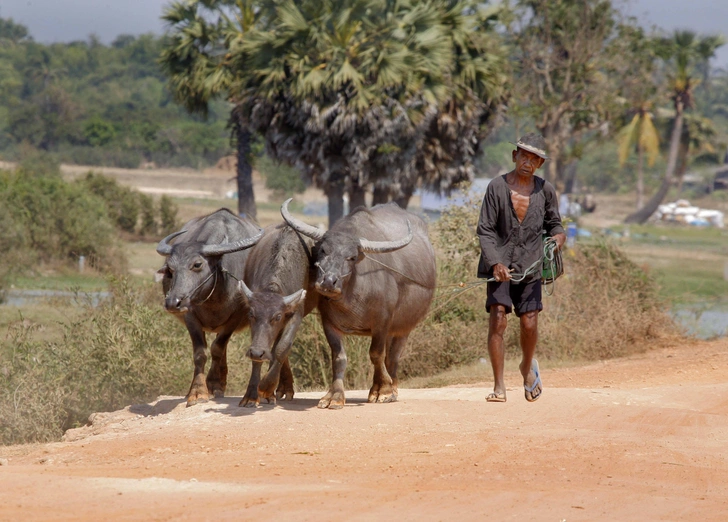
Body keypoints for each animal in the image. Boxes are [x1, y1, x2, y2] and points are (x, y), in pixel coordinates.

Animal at [155, 207, 264, 406]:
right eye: (171, 269)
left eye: (197, 264)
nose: (173, 302)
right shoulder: (190, 316)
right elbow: (200, 353)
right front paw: (197, 391)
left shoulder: (236, 316)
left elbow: (217, 348)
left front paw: (214, 384)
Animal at [239, 222, 318, 406]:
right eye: (251, 314)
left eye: (277, 317)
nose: (257, 352)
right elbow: (261, 356)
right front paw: (252, 394)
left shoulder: (295, 315)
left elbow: (282, 348)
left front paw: (267, 387)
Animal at [282, 198, 436, 406]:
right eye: (323, 250)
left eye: (352, 257)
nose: (329, 281)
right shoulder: (329, 323)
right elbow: (338, 358)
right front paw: (334, 396)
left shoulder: (382, 322)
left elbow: (376, 354)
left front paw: (383, 391)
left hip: (404, 327)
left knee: (393, 357)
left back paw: (392, 388)